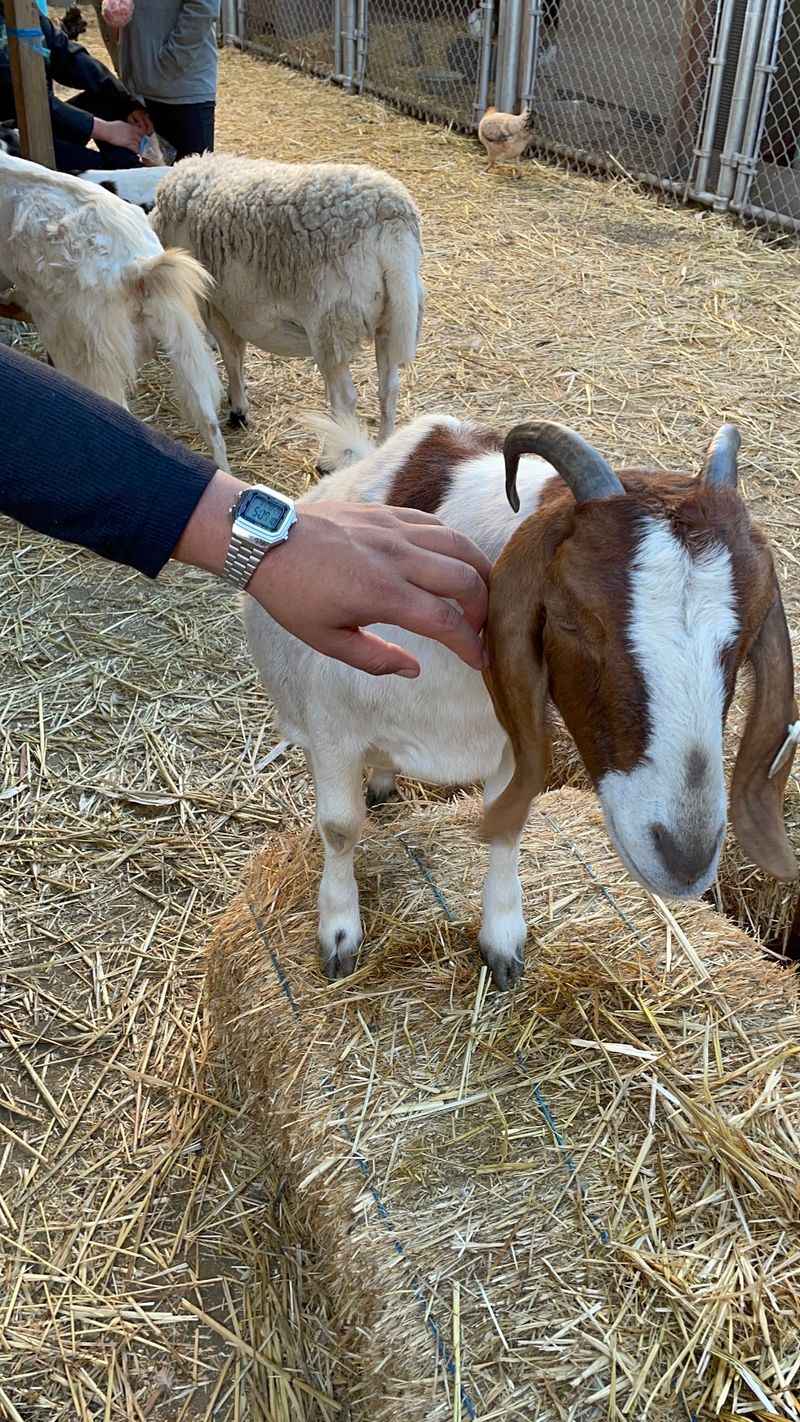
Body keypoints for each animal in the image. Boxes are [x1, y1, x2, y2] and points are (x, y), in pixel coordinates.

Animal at [150, 154, 425, 440]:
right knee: (389, 388)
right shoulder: (232, 308)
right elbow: (237, 351)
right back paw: (385, 442)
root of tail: (392, 225)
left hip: (331, 324)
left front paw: (238, 409)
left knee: (345, 399)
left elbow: (231, 356)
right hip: (393, 317)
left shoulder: (215, 305)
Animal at [244, 412, 798, 989]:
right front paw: (339, 934)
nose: (685, 857)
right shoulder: (333, 727)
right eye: (574, 621)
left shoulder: (510, 737)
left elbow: (507, 822)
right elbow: (339, 827)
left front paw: (503, 940)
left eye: (744, 640)